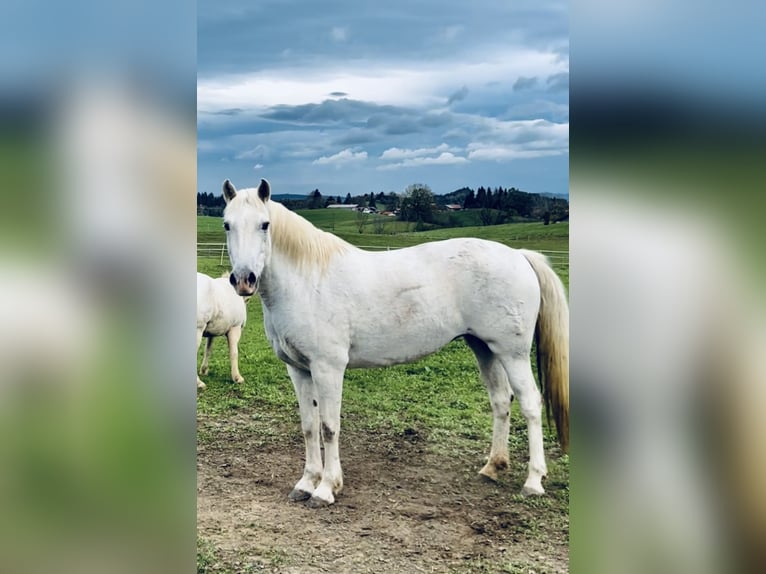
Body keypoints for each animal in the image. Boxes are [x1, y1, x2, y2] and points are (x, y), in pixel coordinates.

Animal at [222, 179, 568, 508]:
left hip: (513, 353)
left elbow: (329, 427)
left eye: (265, 224)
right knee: (500, 401)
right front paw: (306, 483)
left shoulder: (328, 368)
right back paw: (493, 467)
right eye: (227, 224)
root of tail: (518, 255)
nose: (244, 279)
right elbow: (309, 426)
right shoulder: (298, 369)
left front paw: (326, 489)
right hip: (484, 347)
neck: (308, 281)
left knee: (530, 403)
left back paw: (533, 481)